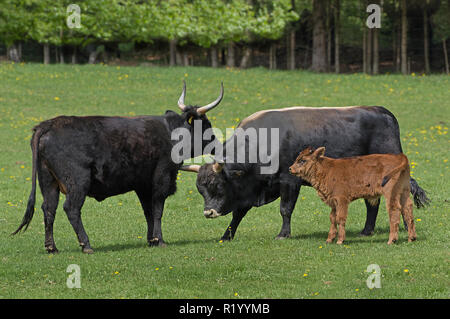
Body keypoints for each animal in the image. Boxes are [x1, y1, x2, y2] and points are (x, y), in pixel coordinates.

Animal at [13, 82, 224, 255]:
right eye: (206, 124)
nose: (217, 145)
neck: (171, 132)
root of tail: (49, 124)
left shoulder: (143, 184)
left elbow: (148, 211)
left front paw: (151, 240)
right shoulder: (162, 178)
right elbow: (157, 209)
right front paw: (160, 240)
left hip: (48, 182)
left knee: (49, 209)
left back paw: (51, 247)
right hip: (77, 182)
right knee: (71, 208)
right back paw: (86, 245)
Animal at [182, 106, 428, 241]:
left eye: (217, 186)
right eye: (201, 190)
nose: (208, 212)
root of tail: (383, 112)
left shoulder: (289, 181)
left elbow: (285, 209)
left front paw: (283, 233)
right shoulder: (249, 188)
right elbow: (238, 213)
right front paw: (227, 235)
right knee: (372, 203)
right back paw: (367, 231)